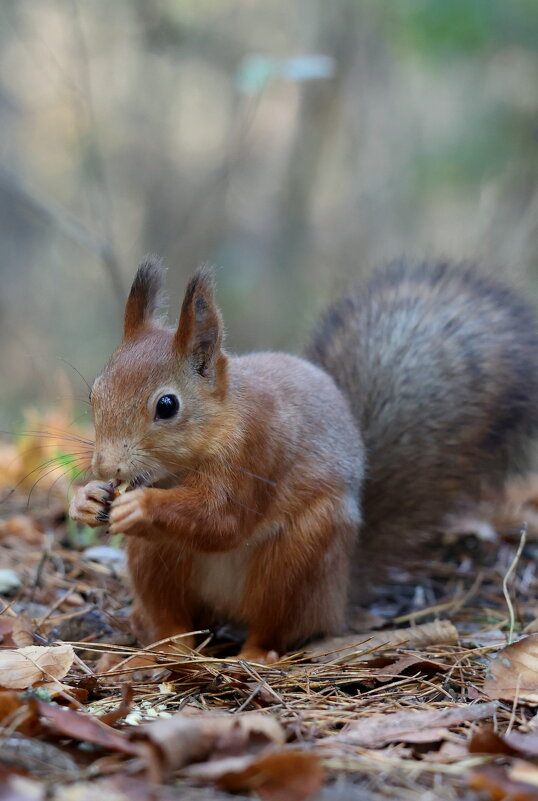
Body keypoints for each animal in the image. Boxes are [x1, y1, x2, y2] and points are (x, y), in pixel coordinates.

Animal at [69, 258, 536, 664]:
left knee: (276, 625)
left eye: (167, 406)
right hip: (156, 558)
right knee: (174, 620)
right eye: (94, 393)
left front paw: (142, 505)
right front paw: (85, 498)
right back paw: (160, 651)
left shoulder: (257, 451)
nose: (106, 468)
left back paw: (256, 655)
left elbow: (221, 520)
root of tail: (340, 592)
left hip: (299, 559)